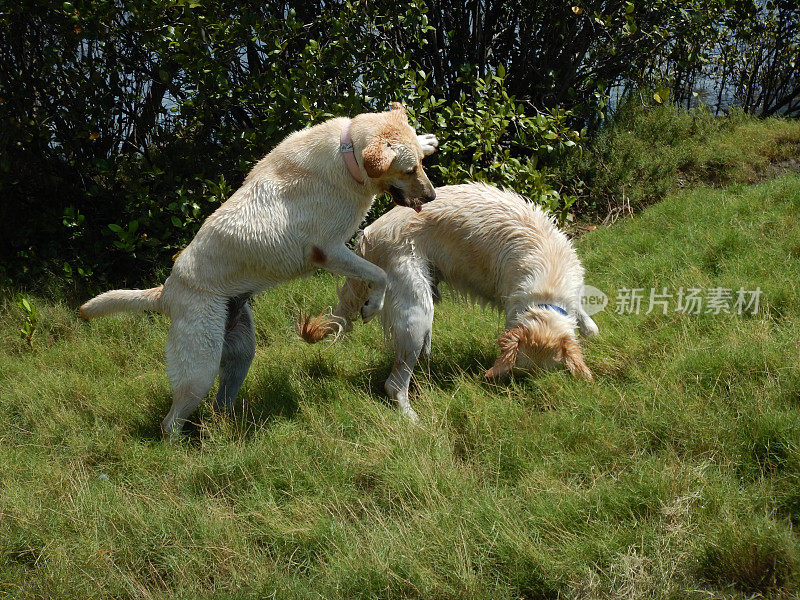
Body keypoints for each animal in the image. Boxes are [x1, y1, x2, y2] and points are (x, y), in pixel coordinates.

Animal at [81, 101, 438, 434]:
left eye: (420, 165)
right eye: (408, 171)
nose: (432, 197)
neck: (346, 156)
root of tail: (166, 291)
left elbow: (376, 274)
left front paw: (427, 139)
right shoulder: (330, 251)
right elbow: (379, 275)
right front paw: (372, 306)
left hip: (240, 355)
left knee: (220, 405)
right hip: (199, 370)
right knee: (171, 422)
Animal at [300, 183, 600, 422]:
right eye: (521, 373)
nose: (524, 394)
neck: (546, 294)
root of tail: (367, 235)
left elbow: (588, 323)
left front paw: (588, 329)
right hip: (417, 313)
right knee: (394, 384)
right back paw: (413, 420)